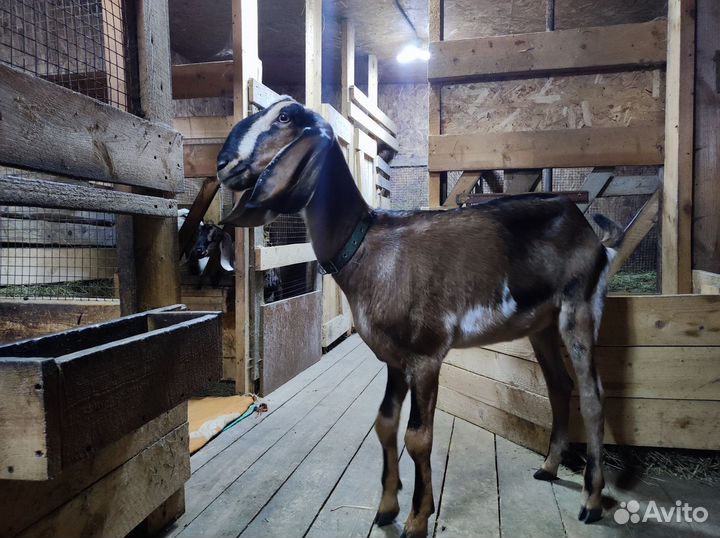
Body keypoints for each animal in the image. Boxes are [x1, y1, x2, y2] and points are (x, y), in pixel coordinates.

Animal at [216, 98, 624, 538]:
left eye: (284, 116)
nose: (222, 163)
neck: (368, 247)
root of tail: (593, 235)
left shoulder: (426, 355)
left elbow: (418, 437)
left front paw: (417, 517)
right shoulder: (395, 359)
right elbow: (385, 423)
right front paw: (387, 507)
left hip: (580, 309)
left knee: (593, 396)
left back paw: (592, 501)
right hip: (542, 325)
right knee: (559, 386)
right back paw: (548, 467)